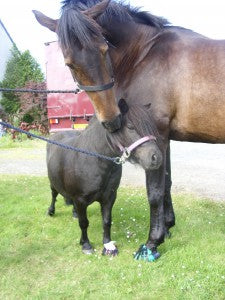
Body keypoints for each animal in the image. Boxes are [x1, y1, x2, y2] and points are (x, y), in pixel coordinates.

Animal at [33, 0, 225, 258]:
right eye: (69, 63)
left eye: (104, 49)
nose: (112, 119)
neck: (145, 53)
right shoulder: (162, 140)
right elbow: (166, 185)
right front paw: (167, 228)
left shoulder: (157, 136)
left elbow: (155, 191)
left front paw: (152, 242)